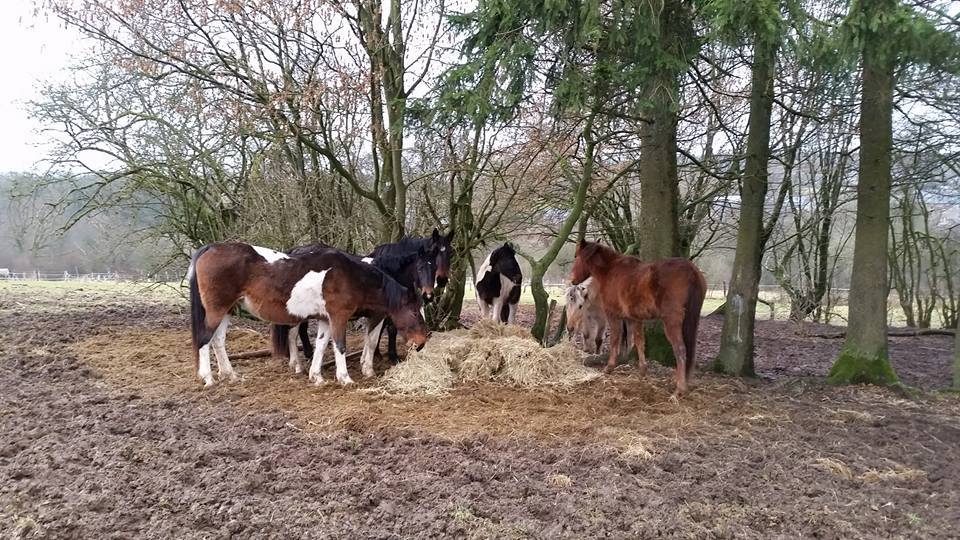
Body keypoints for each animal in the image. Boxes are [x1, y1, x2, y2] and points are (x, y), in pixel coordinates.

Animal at [187, 242, 429, 387]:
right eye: (415, 313)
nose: (421, 343)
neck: (350, 276)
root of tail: (210, 248)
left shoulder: (325, 319)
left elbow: (321, 345)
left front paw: (317, 376)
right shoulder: (338, 317)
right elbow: (340, 345)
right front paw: (345, 378)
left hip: (226, 310)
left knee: (218, 341)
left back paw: (230, 374)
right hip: (217, 311)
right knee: (204, 340)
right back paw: (208, 377)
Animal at [571, 240, 706, 397]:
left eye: (576, 256)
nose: (572, 280)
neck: (610, 270)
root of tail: (691, 271)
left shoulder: (613, 315)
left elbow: (615, 340)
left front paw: (609, 367)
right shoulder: (634, 318)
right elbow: (640, 342)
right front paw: (642, 371)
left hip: (671, 322)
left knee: (680, 350)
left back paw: (680, 388)